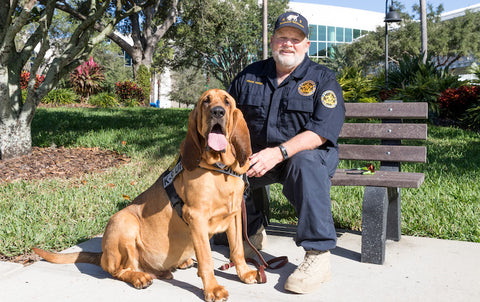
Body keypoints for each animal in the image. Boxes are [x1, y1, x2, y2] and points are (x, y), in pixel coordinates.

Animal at [33, 88, 258, 300]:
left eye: (227, 102)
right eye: (206, 101)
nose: (217, 112)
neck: (220, 169)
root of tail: (102, 255)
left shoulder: (235, 215)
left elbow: (237, 250)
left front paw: (244, 273)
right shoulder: (197, 217)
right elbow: (207, 259)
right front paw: (212, 288)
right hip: (124, 223)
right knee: (119, 269)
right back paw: (139, 277)